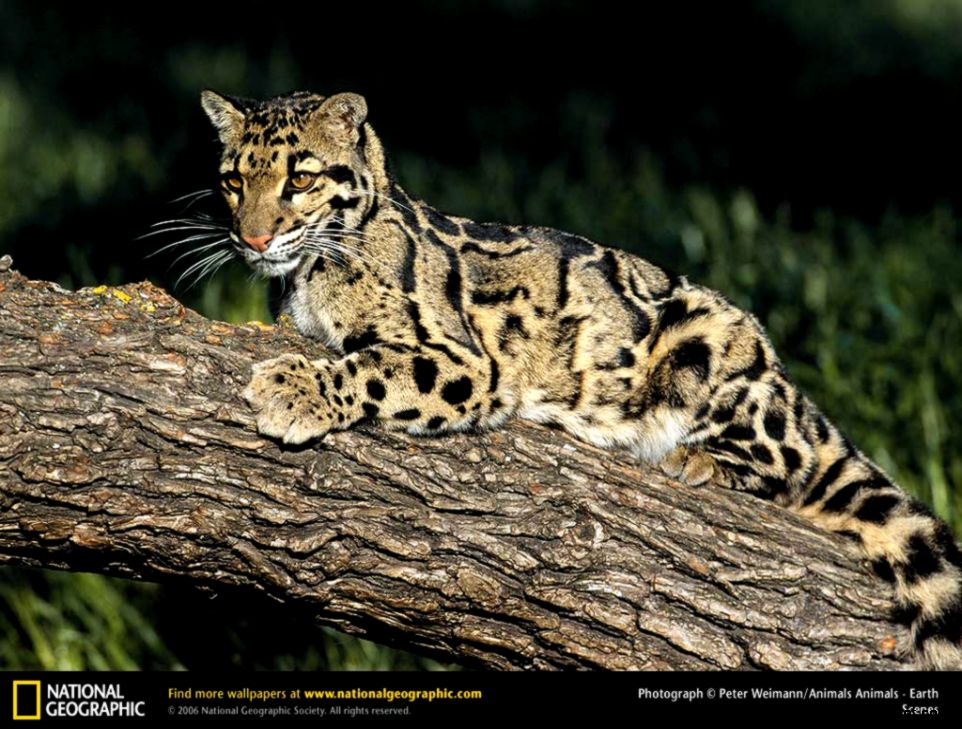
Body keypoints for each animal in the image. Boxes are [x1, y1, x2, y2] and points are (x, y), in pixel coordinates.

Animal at [198, 88, 962, 670]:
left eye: (300, 177)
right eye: (233, 180)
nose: (252, 238)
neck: (305, 276)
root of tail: (789, 385)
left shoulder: (463, 360)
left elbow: (374, 366)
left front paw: (293, 390)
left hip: (715, 341)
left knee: (791, 457)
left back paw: (700, 458)